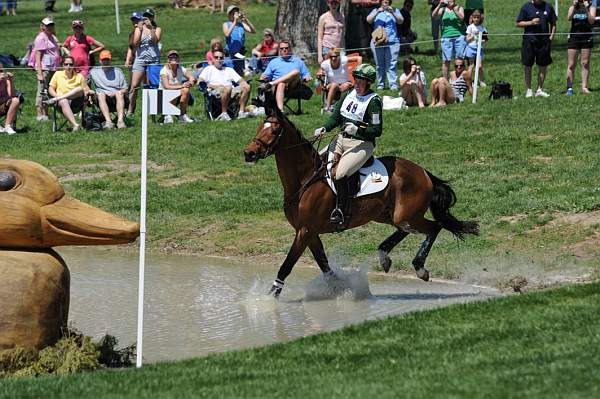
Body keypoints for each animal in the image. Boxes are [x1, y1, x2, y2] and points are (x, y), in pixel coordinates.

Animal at [244, 95, 478, 298]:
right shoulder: (309, 232)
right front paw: (340, 290)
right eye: (259, 127)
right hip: (388, 215)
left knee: (433, 227)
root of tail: (423, 172)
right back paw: (384, 256)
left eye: (274, 130)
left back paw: (419, 268)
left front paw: (269, 298)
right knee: (405, 229)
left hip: (406, 215)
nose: (249, 153)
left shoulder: (305, 231)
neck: (305, 180)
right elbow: (324, 265)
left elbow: (287, 265)